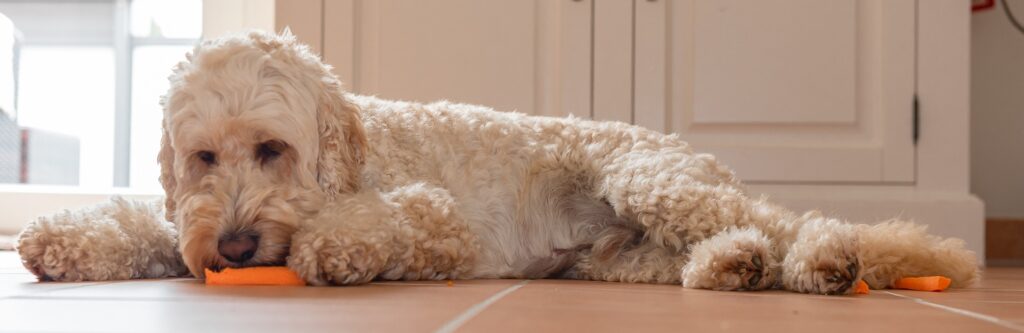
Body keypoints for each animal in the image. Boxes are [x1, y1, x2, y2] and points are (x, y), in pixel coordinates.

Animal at [14, 31, 974, 293]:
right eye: (204, 155)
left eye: (273, 149)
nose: (239, 247)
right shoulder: (187, 218)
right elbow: (140, 220)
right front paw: (64, 237)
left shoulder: (433, 215)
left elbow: (378, 221)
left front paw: (336, 246)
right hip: (620, 254)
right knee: (732, 247)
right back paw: (733, 266)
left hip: (650, 179)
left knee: (799, 222)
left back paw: (822, 259)